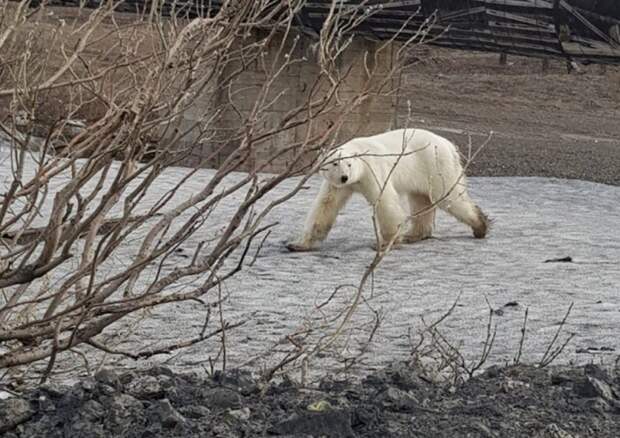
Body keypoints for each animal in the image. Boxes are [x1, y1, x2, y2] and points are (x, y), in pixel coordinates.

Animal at [286, 128, 490, 252]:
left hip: (436, 164)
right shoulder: (336, 185)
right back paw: (414, 235)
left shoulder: (371, 171)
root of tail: (449, 145)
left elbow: (385, 202)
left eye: (349, 164)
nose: (344, 177)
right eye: (335, 163)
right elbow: (325, 206)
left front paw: (385, 243)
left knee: (450, 197)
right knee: (421, 200)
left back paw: (480, 226)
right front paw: (297, 244)